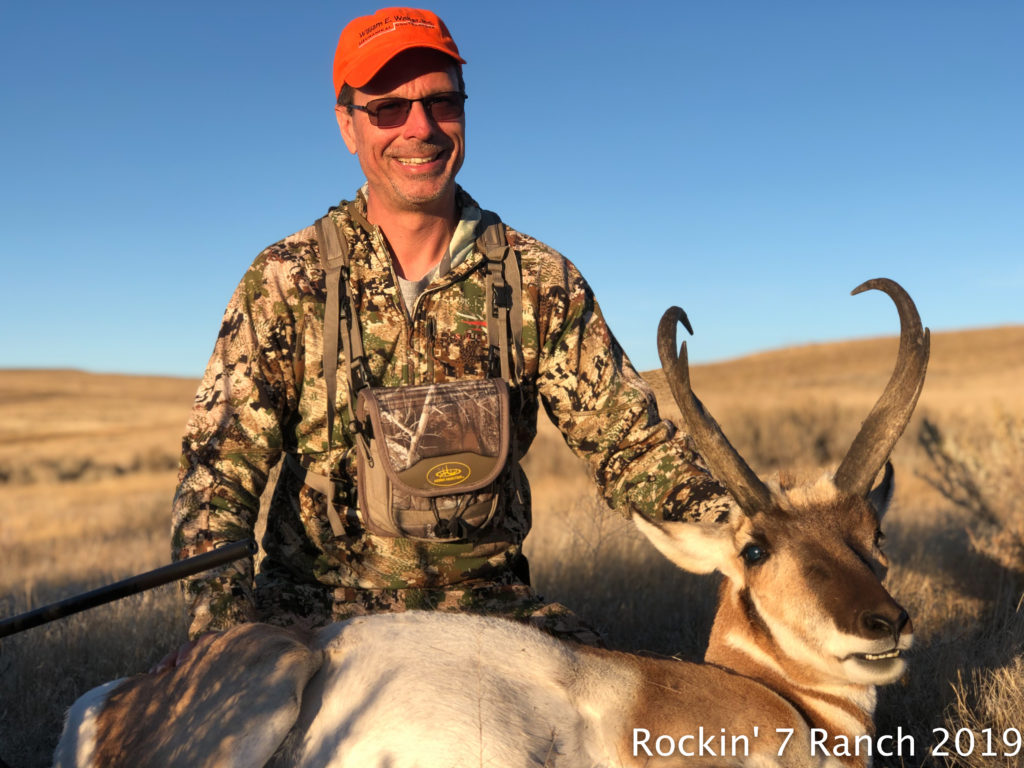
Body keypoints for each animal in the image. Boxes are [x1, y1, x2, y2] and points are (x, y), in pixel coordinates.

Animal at [54, 280, 929, 768]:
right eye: (755, 548)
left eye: (875, 537)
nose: (883, 624)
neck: (779, 702)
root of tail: (111, 699)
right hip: (271, 670)